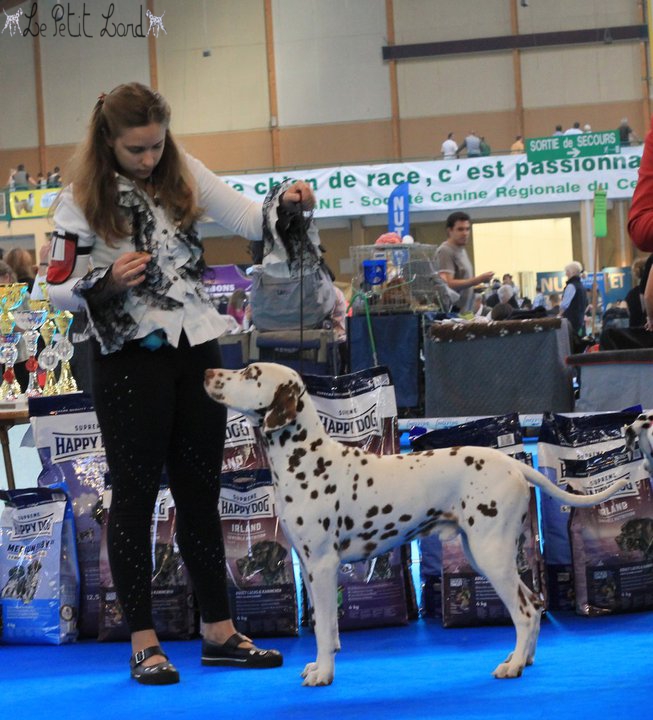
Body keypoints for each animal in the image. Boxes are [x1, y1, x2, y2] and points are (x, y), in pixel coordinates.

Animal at [205, 366, 632, 688]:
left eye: (250, 372)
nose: (209, 372)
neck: (307, 459)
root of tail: (515, 464)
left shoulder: (323, 566)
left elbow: (325, 630)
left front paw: (323, 673)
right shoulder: (309, 567)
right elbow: (327, 627)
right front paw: (318, 665)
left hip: (492, 556)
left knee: (526, 611)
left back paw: (511, 666)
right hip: (485, 554)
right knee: (534, 603)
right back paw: (521, 658)